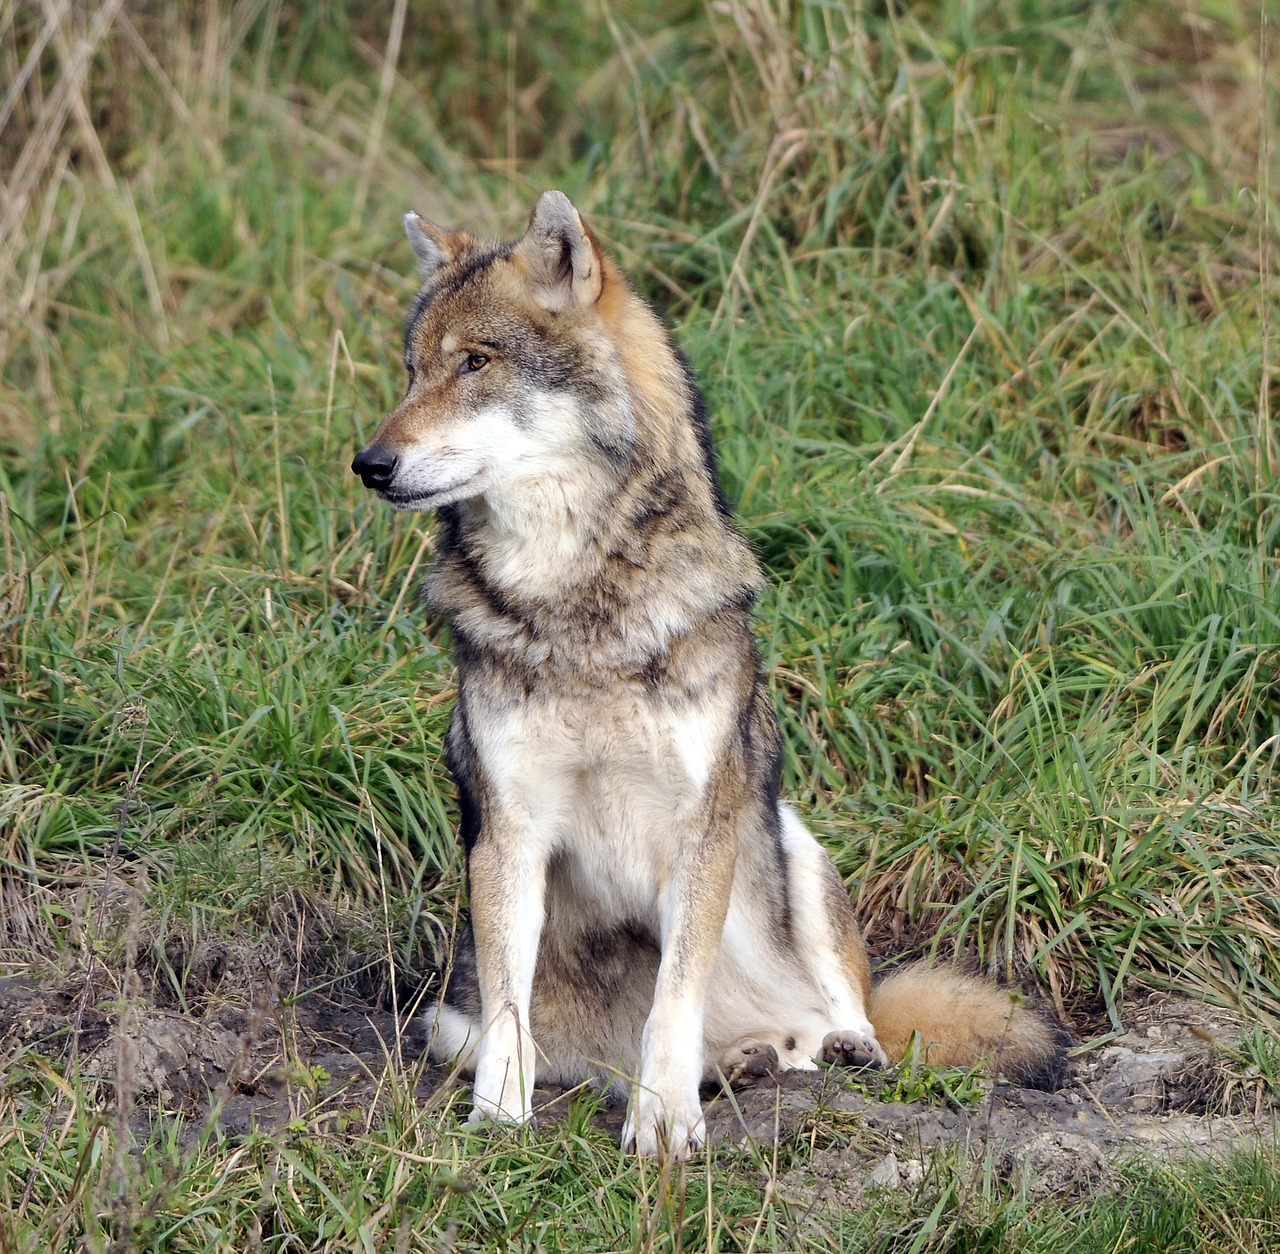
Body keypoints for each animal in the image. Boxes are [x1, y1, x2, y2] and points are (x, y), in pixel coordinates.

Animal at [350, 188, 1070, 1156]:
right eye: (411, 371)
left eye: (474, 362)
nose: (369, 464)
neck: (581, 611)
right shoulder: (507, 832)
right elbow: (510, 1008)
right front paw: (498, 1119)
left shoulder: (699, 829)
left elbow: (673, 998)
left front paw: (661, 1125)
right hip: (446, 1020)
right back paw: (741, 1061)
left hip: (786, 836)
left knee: (843, 1009)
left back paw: (832, 1048)